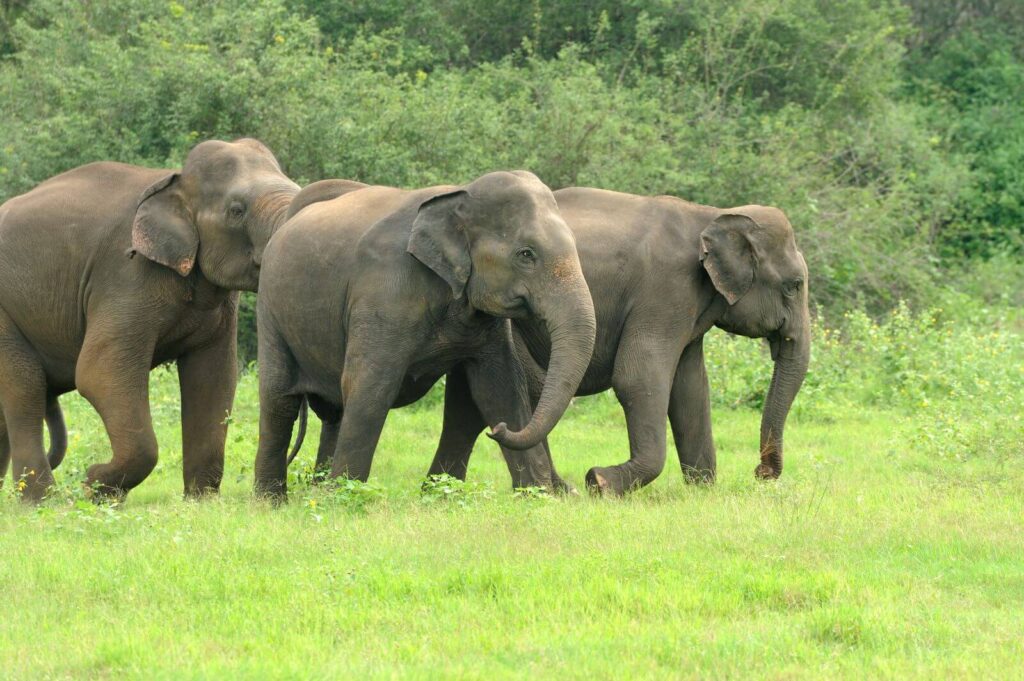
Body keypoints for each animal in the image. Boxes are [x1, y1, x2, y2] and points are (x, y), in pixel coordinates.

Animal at [0, 138, 301, 499]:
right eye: (236, 210)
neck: (174, 181)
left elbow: (214, 377)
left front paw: (200, 502)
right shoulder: (125, 275)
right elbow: (98, 372)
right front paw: (94, 486)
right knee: (25, 387)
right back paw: (40, 501)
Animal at [250, 171, 598, 499]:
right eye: (526, 254)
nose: (496, 431)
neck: (458, 196)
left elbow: (500, 389)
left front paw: (539, 498)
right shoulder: (384, 291)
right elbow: (370, 387)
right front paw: (346, 499)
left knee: (332, 411)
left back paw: (318, 491)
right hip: (270, 310)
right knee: (279, 401)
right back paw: (272, 503)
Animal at [423, 186, 806, 493]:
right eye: (794, 285)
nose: (760, 473)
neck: (711, 215)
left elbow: (691, 388)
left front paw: (702, 490)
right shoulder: (665, 291)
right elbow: (638, 378)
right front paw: (600, 483)